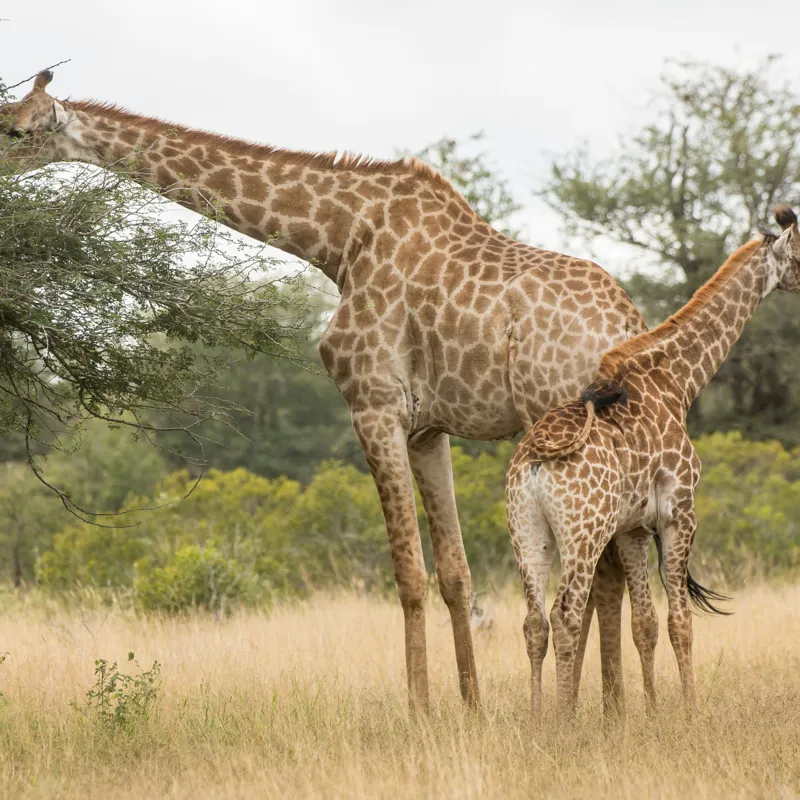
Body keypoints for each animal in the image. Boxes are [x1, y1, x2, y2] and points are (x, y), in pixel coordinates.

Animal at [1, 69, 647, 714]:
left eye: (16, 130)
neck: (339, 240)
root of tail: (626, 323)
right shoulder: (427, 428)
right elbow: (454, 573)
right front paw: (471, 707)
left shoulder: (373, 406)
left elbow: (408, 574)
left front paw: (419, 712)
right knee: (612, 569)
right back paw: (615, 706)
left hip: (556, 424)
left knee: (597, 574)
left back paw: (582, 710)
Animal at [505, 205, 800, 720]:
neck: (677, 381)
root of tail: (537, 459)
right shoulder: (679, 511)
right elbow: (680, 621)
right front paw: (691, 713)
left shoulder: (632, 528)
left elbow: (644, 622)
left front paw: (654, 712)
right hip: (582, 533)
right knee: (565, 614)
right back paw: (562, 724)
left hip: (528, 532)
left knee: (534, 622)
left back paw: (539, 720)